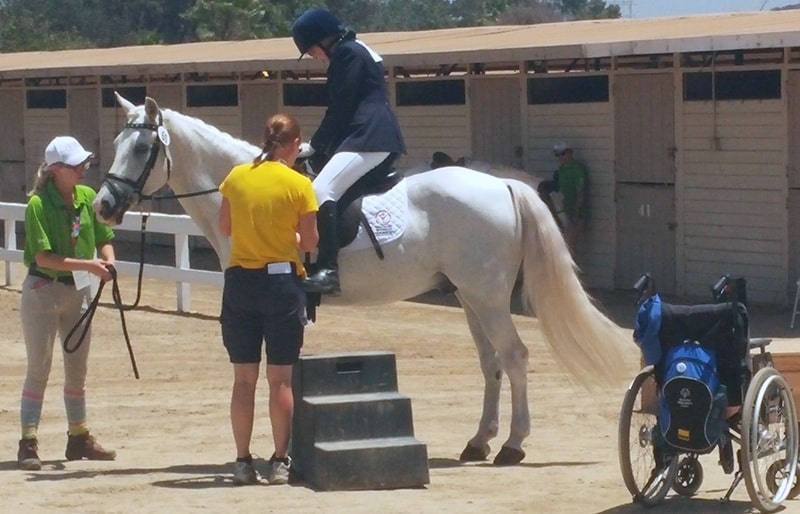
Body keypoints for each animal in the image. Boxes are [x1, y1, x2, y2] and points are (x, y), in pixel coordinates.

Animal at [97, 93, 628, 464]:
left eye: (142, 147)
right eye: (117, 143)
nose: (104, 205)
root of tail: (503, 184)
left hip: (489, 296)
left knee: (515, 357)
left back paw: (513, 445)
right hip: (471, 296)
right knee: (491, 362)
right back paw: (478, 441)